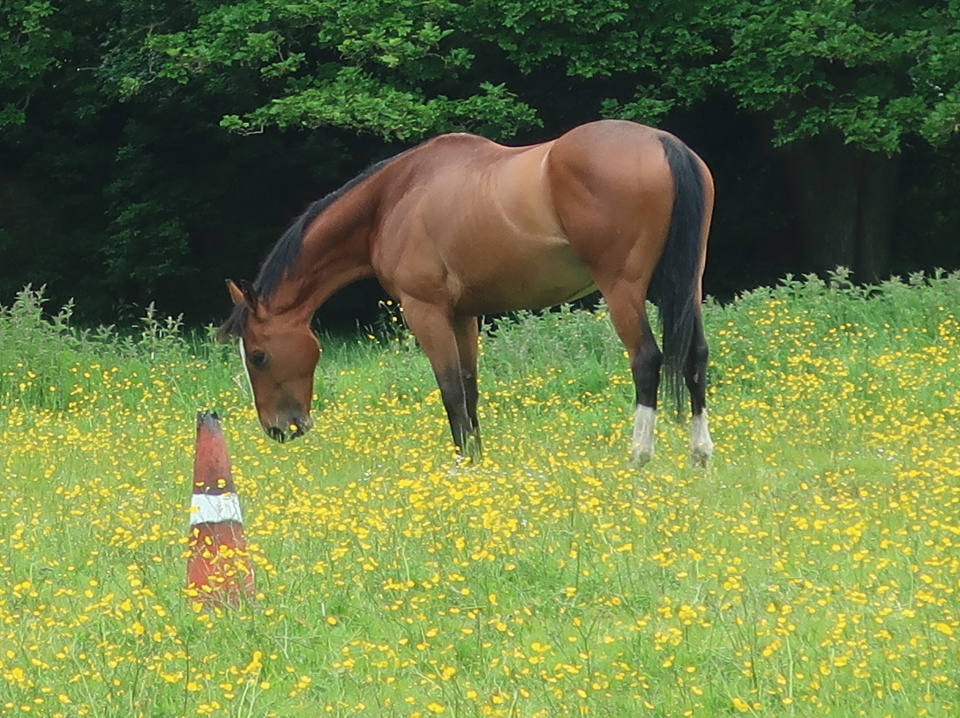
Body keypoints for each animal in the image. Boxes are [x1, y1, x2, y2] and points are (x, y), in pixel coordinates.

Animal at [219, 119, 715, 467]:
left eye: (258, 356)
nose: (280, 429)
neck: (394, 199)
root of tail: (662, 143)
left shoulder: (427, 312)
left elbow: (450, 389)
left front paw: (461, 465)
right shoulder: (464, 315)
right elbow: (471, 387)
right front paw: (477, 460)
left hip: (623, 289)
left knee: (646, 359)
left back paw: (640, 455)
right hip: (687, 286)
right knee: (695, 355)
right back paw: (700, 455)